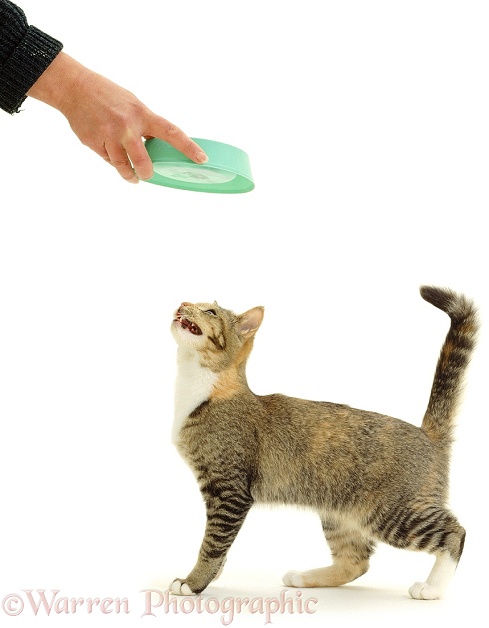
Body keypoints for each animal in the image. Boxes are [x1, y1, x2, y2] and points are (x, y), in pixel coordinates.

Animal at [168, 284, 476, 600]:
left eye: (210, 312)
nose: (183, 303)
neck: (204, 390)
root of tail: (426, 433)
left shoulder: (230, 492)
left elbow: (213, 544)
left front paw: (193, 582)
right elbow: (221, 546)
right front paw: (212, 575)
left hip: (393, 513)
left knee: (456, 532)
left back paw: (433, 586)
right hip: (340, 515)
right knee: (355, 562)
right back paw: (305, 577)